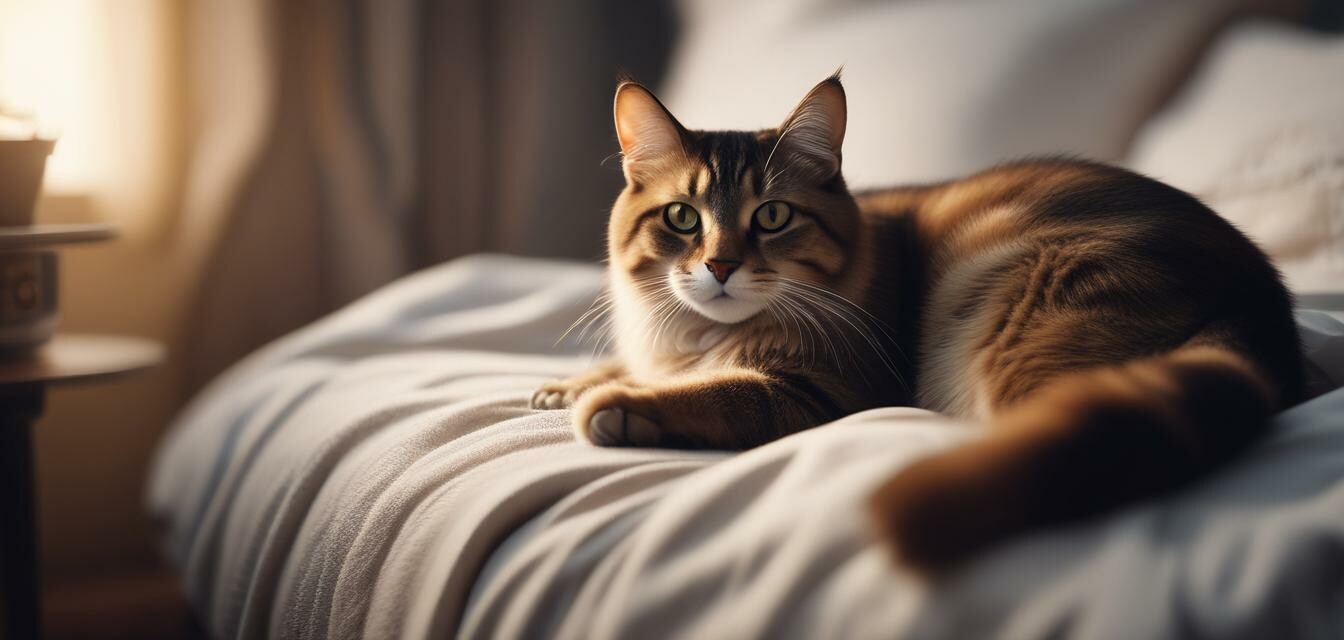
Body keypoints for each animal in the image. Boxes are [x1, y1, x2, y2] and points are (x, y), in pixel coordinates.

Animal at [532, 73, 1300, 570]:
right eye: (683, 218)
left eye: (772, 217)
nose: (720, 266)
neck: (696, 338)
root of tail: (1257, 292)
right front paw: (567, 386)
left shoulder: (826, 390)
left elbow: (715, 393)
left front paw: (613, 403)